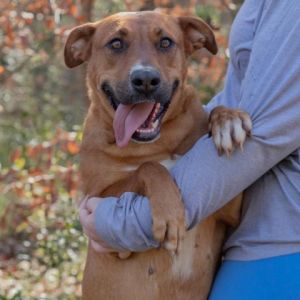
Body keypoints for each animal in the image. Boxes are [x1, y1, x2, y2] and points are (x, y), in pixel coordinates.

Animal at [65, 10, 251, 298]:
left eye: (165, 42)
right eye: (116, 43)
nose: (145, 80)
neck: (156, 143)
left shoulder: (231, 209)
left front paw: (227, 119)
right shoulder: (99, 201)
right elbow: (150, 168)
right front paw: (170, 212)